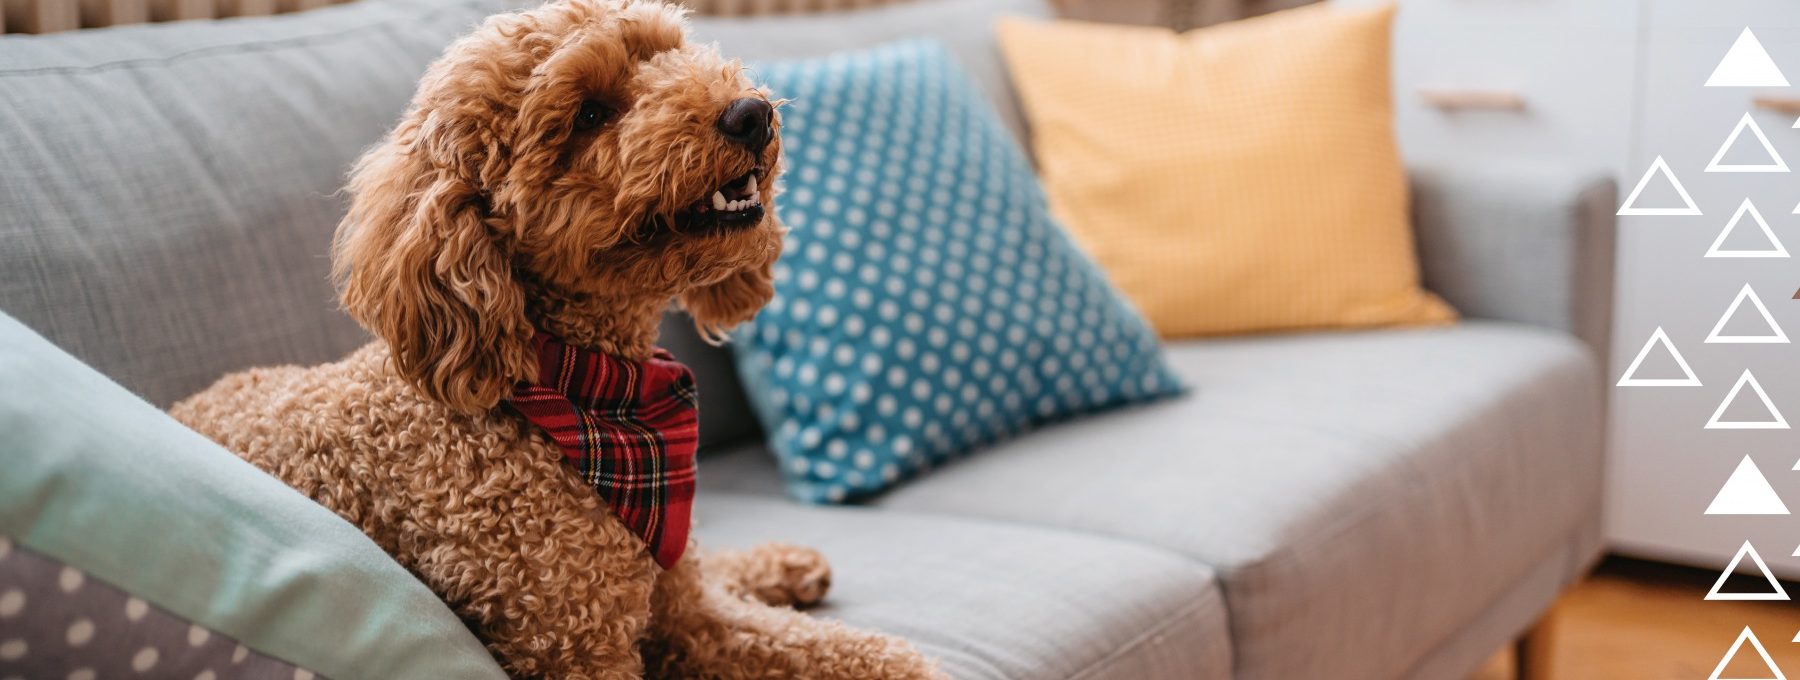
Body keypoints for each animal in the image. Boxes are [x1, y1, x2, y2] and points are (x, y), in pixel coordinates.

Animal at [171, 2, 943, 676]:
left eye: (670, 53)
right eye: (590, 113)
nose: (750, 113)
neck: (590, 387)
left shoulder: (691, 616)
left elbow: (856, 652)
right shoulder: (574, 646)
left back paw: (782, 563)